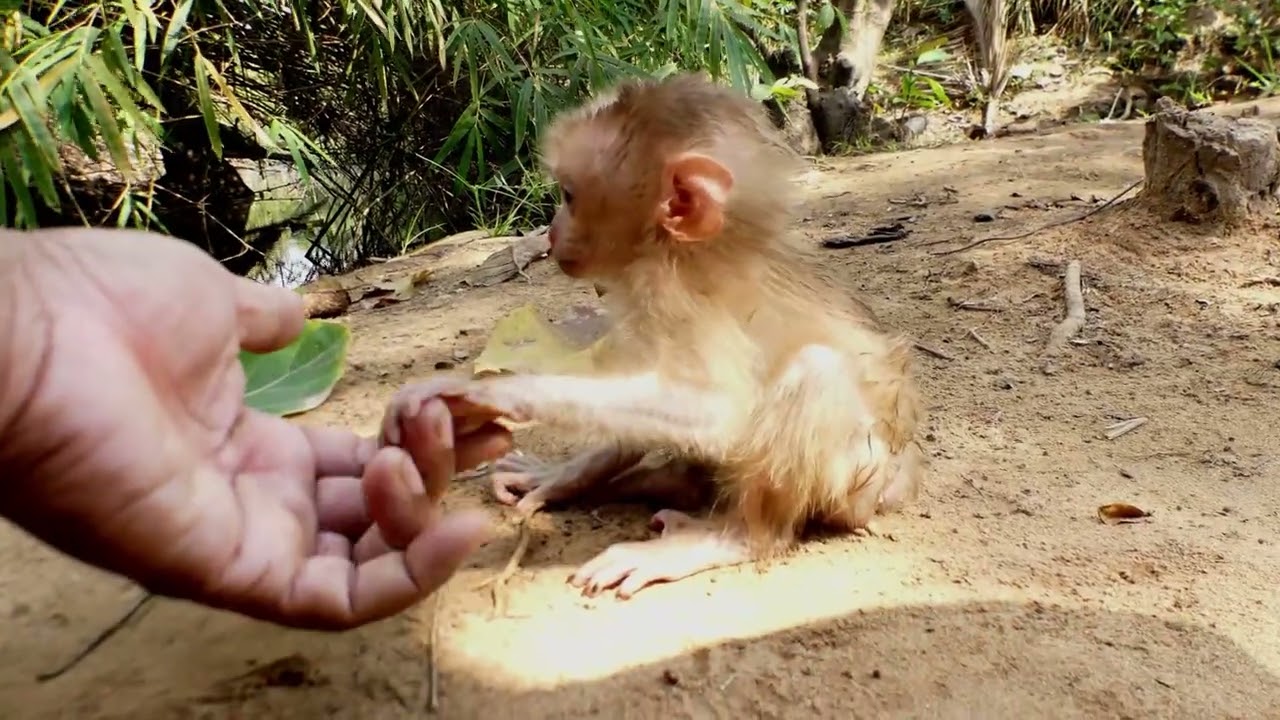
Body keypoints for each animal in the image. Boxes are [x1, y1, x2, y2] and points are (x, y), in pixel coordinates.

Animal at [381, 72, 925, 599]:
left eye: (569, 196)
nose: (551, 231)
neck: (674, 251)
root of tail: (894, 485)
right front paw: (565, 476)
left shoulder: (670, 293)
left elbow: (714, 411)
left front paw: (489, 392)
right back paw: (647, 483)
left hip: (852, 485)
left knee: (815, 371)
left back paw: (736, 536)